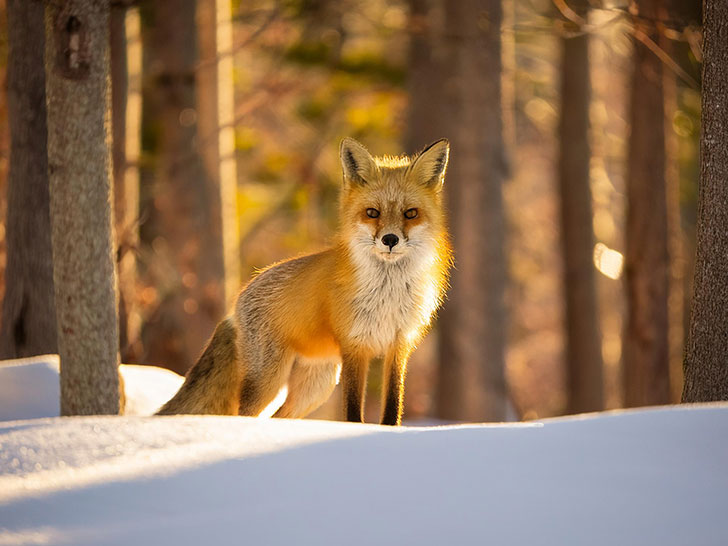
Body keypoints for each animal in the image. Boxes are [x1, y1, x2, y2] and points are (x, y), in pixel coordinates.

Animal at [159, 137, 452, 424]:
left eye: (411, 213)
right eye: (372, 213)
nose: (390, 239)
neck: (388, 293)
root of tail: (238, 300)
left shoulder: (399, 345)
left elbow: (393, 408)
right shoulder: (354, 346)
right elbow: (352, 413)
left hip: (316, 386)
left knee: (280, 417)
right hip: (270, 380)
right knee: (246, 415)